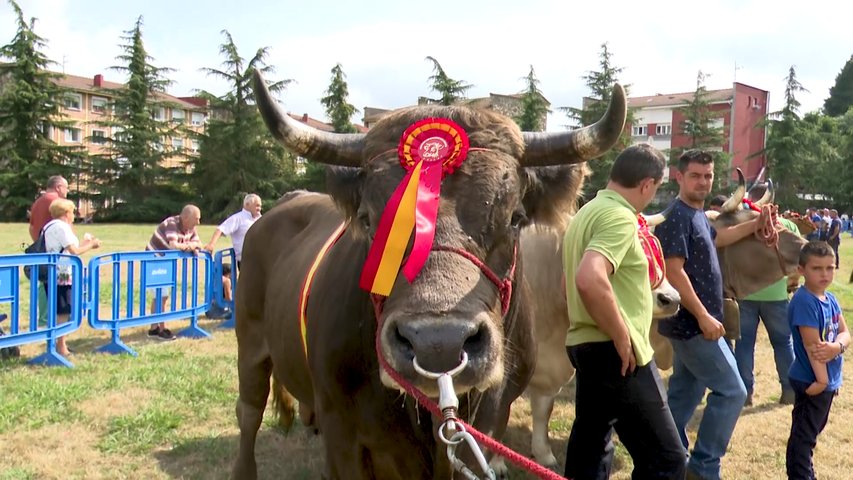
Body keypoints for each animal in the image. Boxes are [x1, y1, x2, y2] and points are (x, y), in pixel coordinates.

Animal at [230, 70, 628, 480]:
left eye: (515, 218)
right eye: (369, 221)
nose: (439, 344)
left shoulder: (486, 430)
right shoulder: (343, 435)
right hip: (250, 340)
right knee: (249, 411)